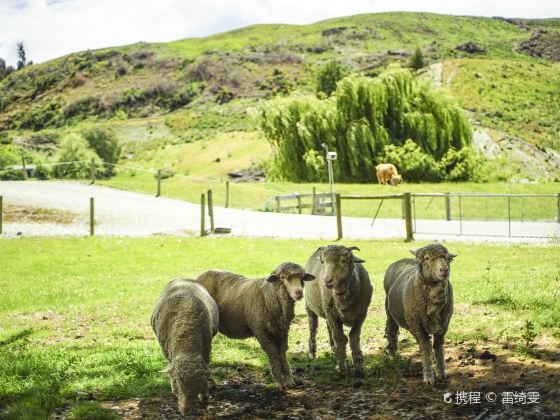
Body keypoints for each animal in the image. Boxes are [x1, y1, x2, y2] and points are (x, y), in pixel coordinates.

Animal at [151, 278, 219, 414]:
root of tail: (183, 279)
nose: (185, 410)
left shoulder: (206, 350)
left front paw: (204, 395)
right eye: (176, 383)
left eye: (197, 383)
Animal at [194, 262, 316, 390]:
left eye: (302, 278)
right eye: (283, 278)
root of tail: (202, 274)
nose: (299, 293)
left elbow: (282, 353)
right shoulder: (261, 331)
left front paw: (289, 381)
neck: (268, 295)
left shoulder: (282, 331)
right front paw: (280, 382)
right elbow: (273, 354)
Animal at [304, 244, 374, 372]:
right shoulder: (332, 315)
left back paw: (333, 348)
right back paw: (312, 353)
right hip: (311, 307)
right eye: (323, 261)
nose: (327, 280)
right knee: (313, 328)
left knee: (329, 329)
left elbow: (354, 337)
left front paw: (358, 364)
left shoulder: (362, 314)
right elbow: (340, 338)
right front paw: (342, 365)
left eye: (343, 261)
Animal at [382, 243, 458, 384]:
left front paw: (441, 372)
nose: (444, 270)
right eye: (427, 258)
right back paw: (392, 354)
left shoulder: (444, 325)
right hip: (390, 312)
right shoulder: (416, 324)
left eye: (447, 258)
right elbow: (426, 348)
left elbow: (438, 348)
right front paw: (428, 376)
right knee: (391, 330)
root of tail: (401, 260)